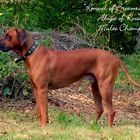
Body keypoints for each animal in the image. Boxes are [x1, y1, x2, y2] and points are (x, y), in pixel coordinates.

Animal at [0, 27, 140, 126]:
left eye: (8, 36)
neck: (32, 52)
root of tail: (115, 58)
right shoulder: (36, 89)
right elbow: (39, 111)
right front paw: (39, 126)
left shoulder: (42, 90)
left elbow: (44, 111)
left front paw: (44, 127)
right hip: (95, 87)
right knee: (100, 109)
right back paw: (93, 127)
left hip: (105, 87)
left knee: (111, 111)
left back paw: (109, 130)